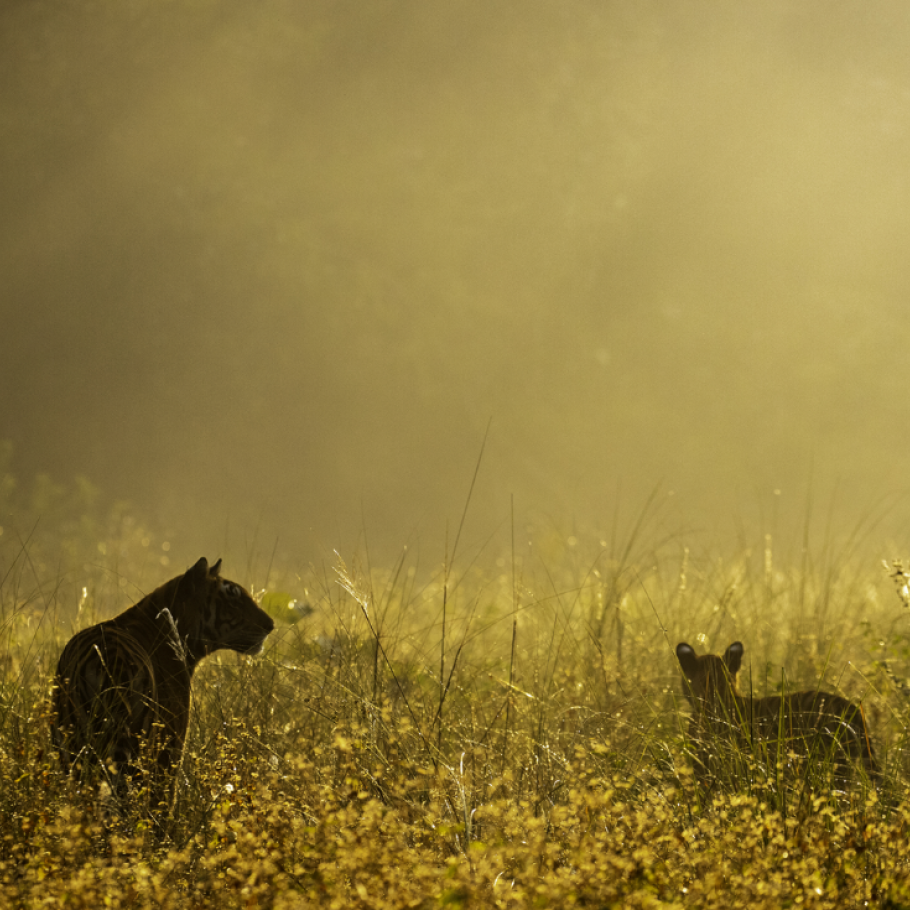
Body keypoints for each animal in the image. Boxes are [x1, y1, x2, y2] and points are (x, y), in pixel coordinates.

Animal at [51, 556, 274, 828]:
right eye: (232, 596)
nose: (271, 624)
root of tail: (110, 657)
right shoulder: (172, 746)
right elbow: (165, 801)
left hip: (73, 749)